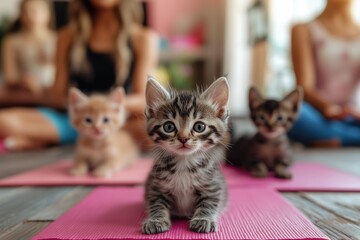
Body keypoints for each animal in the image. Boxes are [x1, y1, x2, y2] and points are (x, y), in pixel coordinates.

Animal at [142, 77, 229, 234]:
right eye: (168, 127)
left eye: (199, 127)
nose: (183, 138)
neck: (184, 162)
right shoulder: (156, 187)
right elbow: (157, 204)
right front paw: (156, 220)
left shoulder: (212, 185)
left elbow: (209, 203)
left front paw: (204, 219)